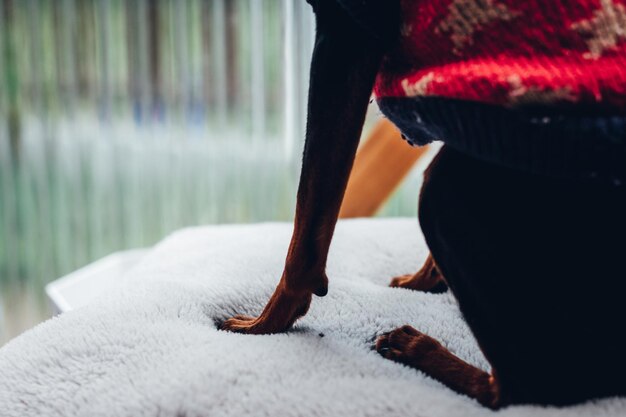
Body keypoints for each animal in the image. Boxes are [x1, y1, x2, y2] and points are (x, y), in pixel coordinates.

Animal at [222, 0, 624, 406]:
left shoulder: (348, 33)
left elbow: (308, 219)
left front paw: (264, 323)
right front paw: (423, 279)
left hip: (444, 187)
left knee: (525, 387)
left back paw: (418, 350)